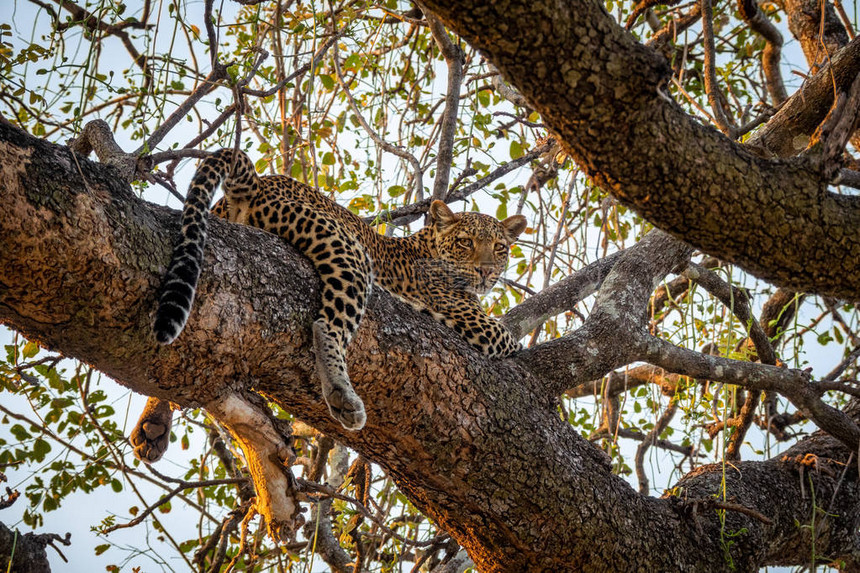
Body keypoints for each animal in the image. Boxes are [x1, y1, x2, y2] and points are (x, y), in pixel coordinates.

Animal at [139, 146, 524, 456]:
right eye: (465, 243)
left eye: (499, 248)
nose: (487, 271)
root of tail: (258, 182)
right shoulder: (476, 324)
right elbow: (513, 343)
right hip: (347, 251)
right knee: (327, 325)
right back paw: (342, 397)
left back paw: (153, 423)